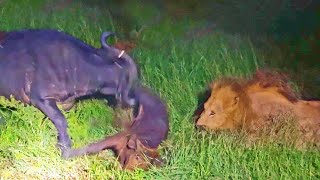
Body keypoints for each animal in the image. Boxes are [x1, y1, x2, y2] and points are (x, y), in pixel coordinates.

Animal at [0, 29, 138, 156]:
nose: (134, 100)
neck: (72, 66)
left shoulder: (66, 104)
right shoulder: (42, 99)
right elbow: (61, 120)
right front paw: (64, 147)